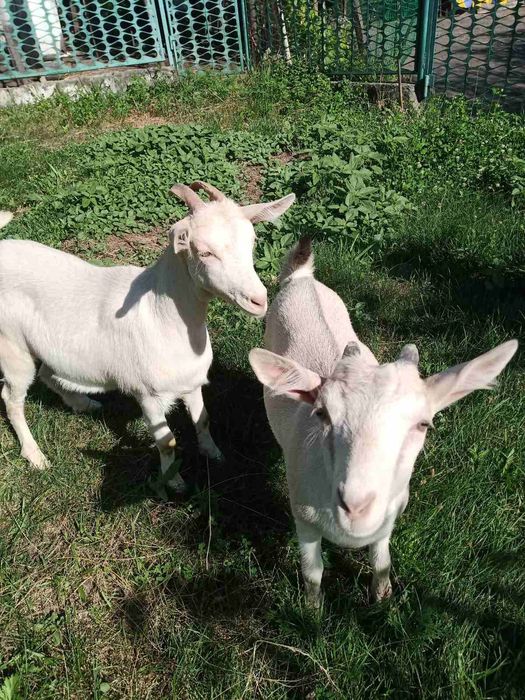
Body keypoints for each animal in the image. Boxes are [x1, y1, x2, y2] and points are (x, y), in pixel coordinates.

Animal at [0, 183, 295, 490]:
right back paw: (35, 455)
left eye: (252, 241)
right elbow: (167, 442)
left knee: (47, 373)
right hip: (11, 346)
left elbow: (203, 420)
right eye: (204, 252)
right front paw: (174, 482)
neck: (160, 314)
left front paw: (213, 453)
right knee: (12, 397)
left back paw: (83, 404)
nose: (258, 300)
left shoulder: (191, 382)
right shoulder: (148, 396)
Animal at [249, 238, 518, 605]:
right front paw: (312, 609)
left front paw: (382, 594)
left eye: (423, 424)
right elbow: (313, 572)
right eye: (322, 414)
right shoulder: (302, 515)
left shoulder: (390, 515)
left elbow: (381, 559)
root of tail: (302, 278)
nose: (355, 507)